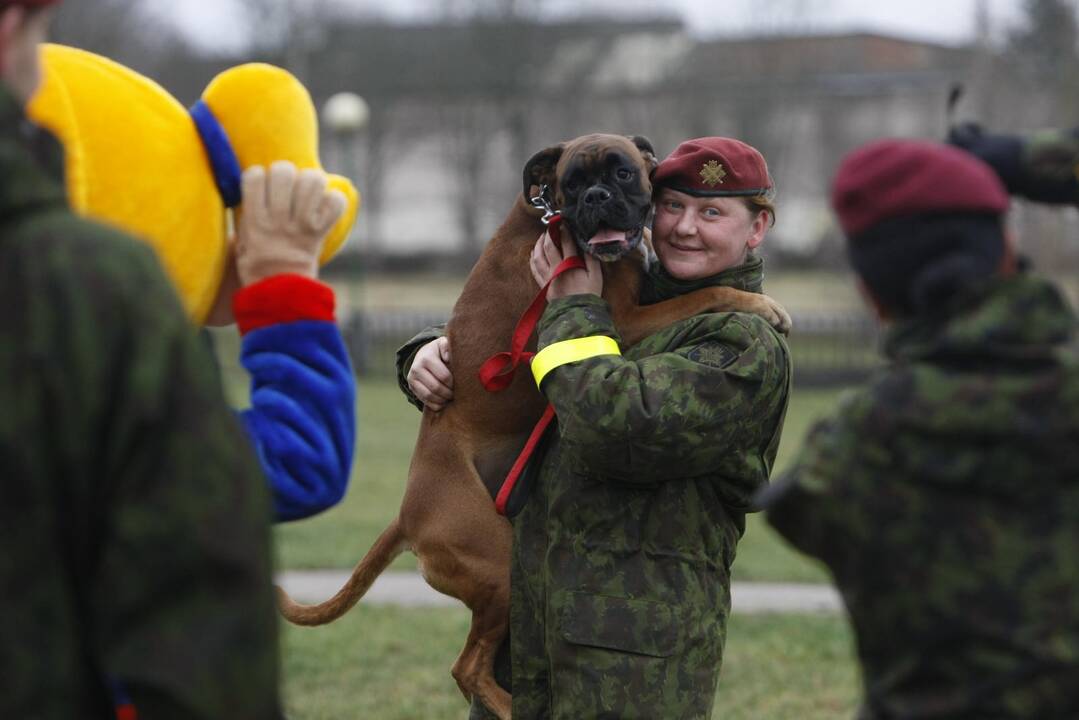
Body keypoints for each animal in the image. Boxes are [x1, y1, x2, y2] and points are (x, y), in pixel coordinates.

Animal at [274, 132, 789, 716]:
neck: (550, 222)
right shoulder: (626, 319)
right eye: (572, 182)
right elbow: (705, 293)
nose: (594, 198)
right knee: (466, 667)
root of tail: (407, 517)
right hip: (498, 568)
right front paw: (759, 303)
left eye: (622, 173)